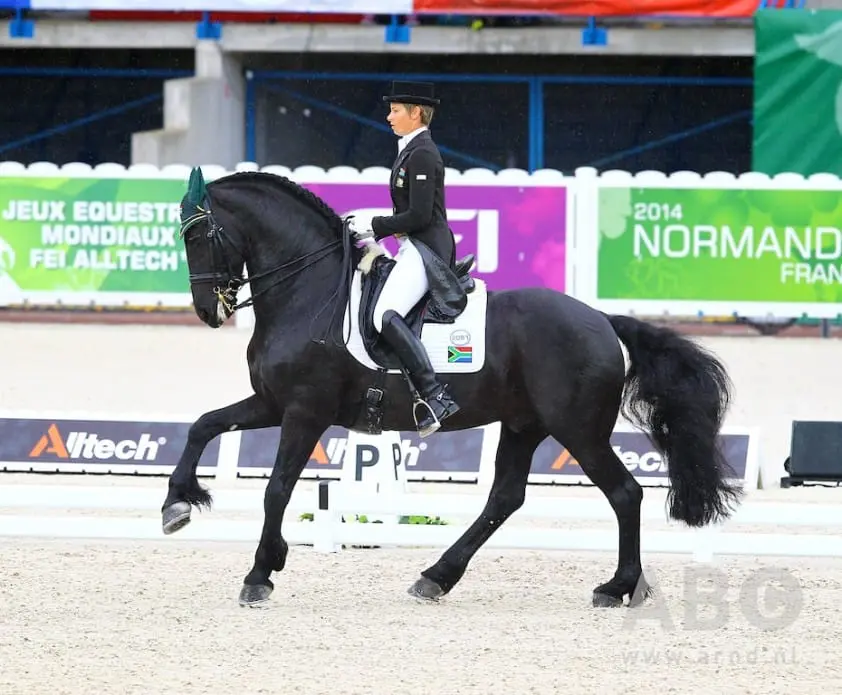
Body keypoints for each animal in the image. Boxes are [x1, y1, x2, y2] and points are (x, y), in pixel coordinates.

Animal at [162, 166, 743, 608]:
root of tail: (601, 319)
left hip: (577, 430)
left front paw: (260, 574)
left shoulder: (305, 410)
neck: (309, 292)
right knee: (505, 497)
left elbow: (277, 487)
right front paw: (178, 505)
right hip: (524, 424)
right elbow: (202, 426)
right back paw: (435, 577)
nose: (207, 311)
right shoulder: (272, 402)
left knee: (624, 493)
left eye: (197, 235)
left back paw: (617, 587)